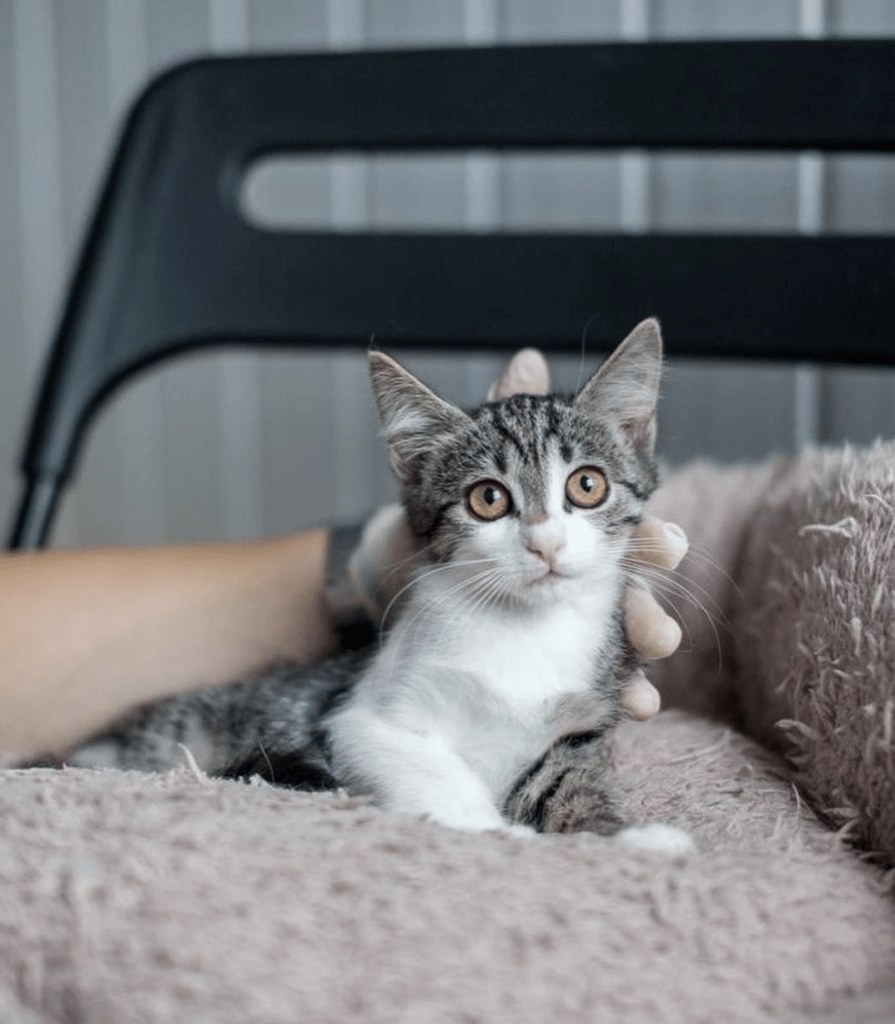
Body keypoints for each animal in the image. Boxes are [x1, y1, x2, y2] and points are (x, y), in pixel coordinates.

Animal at [62, 321, 692, 847]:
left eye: (587, 486)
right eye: (488, 498)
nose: (546, 543)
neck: (524, 629)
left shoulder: (578, 725)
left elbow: (568, 785)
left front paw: (627, 839)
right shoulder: (358, 719)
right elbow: (429, 769)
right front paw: (495, 832)